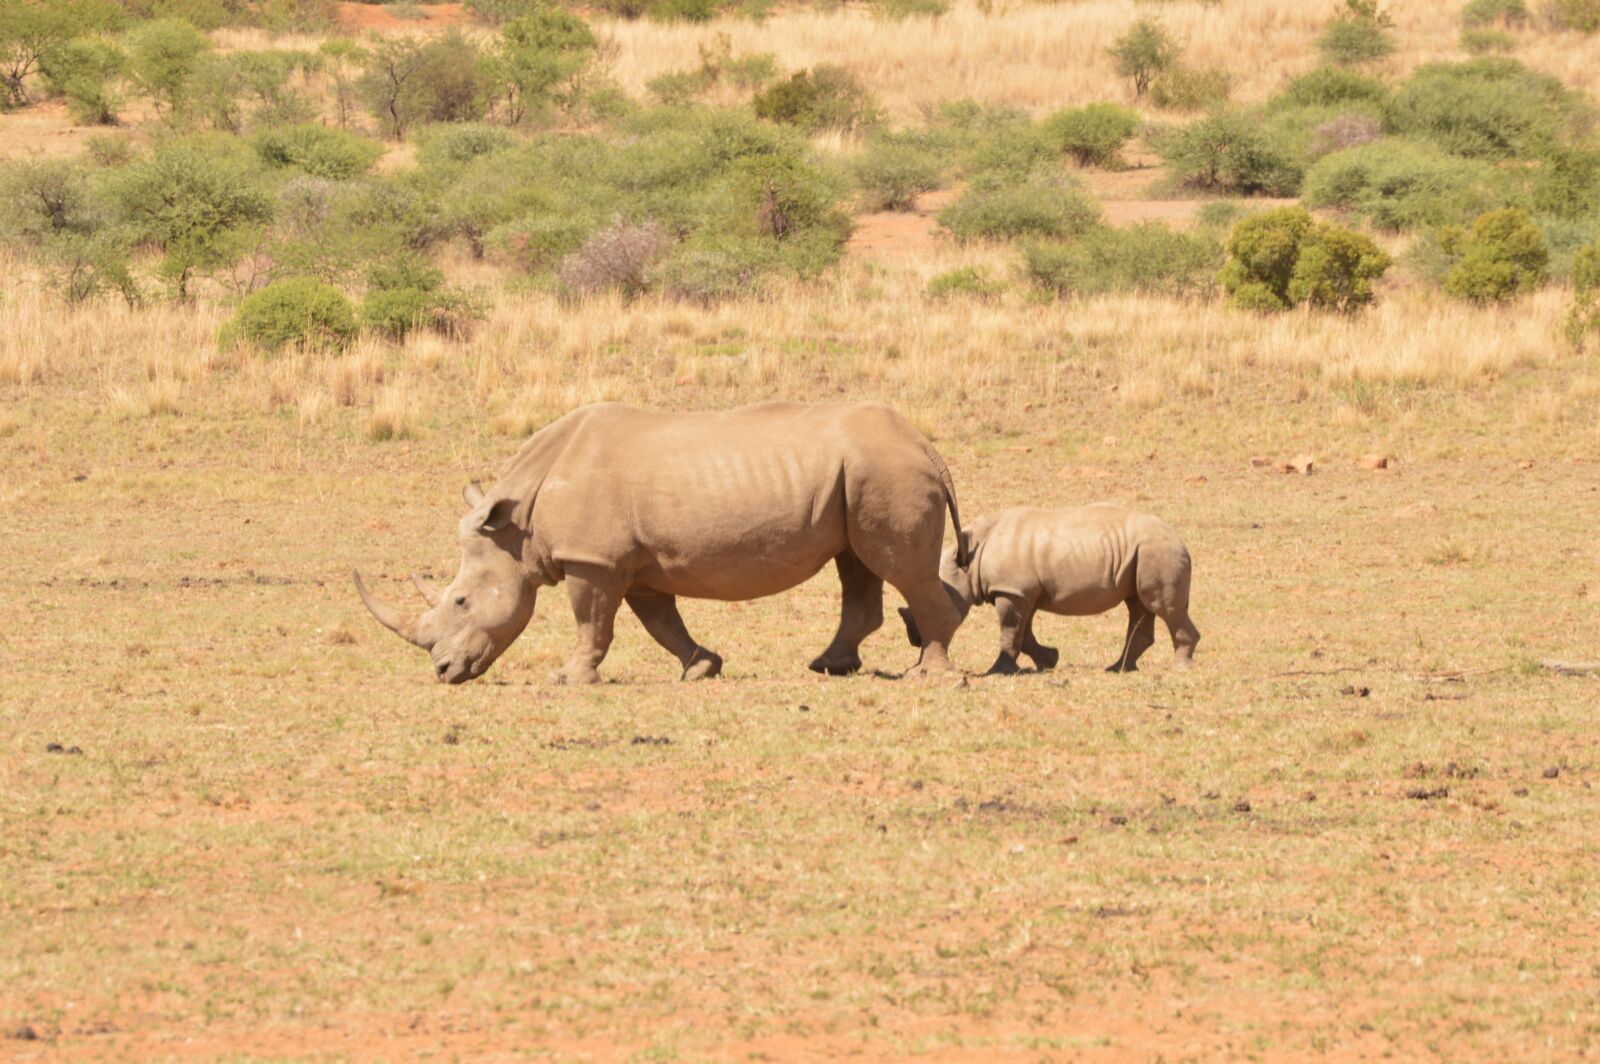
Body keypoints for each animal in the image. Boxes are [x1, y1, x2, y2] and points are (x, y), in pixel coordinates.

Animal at [355, 401, 969, 684]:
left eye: (460, 601)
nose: (443, 672)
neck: (516, 524)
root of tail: (927, 446)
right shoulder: (632, 563)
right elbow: (660, 622)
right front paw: (702, 668)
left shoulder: (592, 559)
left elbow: (591, 622)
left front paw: (568, 679)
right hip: (866, 476)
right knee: (857, 563)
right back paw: (828, 667)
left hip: (886, 473)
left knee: (897, 567)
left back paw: (928, 677)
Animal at [898, 504, 1199, 675]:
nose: (915, 639)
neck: (969, 560)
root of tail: (1181, 540)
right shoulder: (1023, 592)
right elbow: (1023, 633)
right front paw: (1049, 660)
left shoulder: (1011, 591)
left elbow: (1010, 631)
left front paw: (999, 671)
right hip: (1144, 552)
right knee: (1139, 605)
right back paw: (1119, 669)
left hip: (1158, 550)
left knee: (1161, 606)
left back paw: (1179, 668)